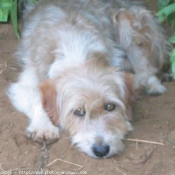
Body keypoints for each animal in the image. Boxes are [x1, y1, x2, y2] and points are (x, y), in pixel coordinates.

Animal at [8, 0, 171, 158]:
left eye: (110, 106)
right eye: (78, 111)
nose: (101, 150)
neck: (75, 48)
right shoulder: (27, 79)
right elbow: (36, 97)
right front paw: (43, 126)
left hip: (127, 22)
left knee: (147, 69)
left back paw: (151, 85)